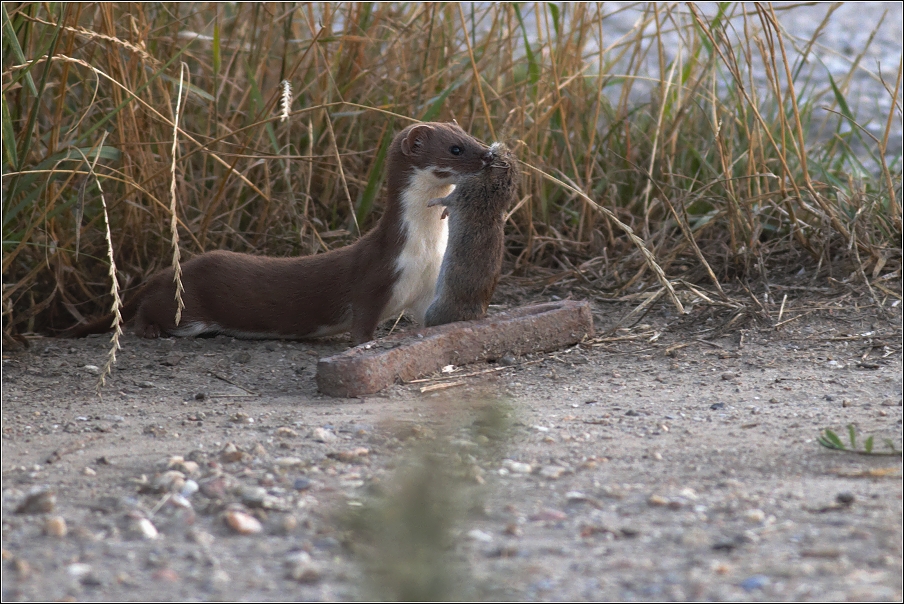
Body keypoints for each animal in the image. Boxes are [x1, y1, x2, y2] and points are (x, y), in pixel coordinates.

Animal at [65, 122, 494, 344]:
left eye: (472, 135)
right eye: (456, 149)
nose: (491, 155)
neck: (425, 248)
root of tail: (172, 269)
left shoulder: (425, 286)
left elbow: (425, 318)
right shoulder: (376, 277)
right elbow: (362, 322)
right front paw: (366, 342)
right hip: (186, 311)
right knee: (148, 309)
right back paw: (149, 329)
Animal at [422, 142, 516, 328]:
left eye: (506, 153)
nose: (499, 144)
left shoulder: (461, 191)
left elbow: (444, 200)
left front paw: (431, 203)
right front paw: (443, 214)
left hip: (434, 309)